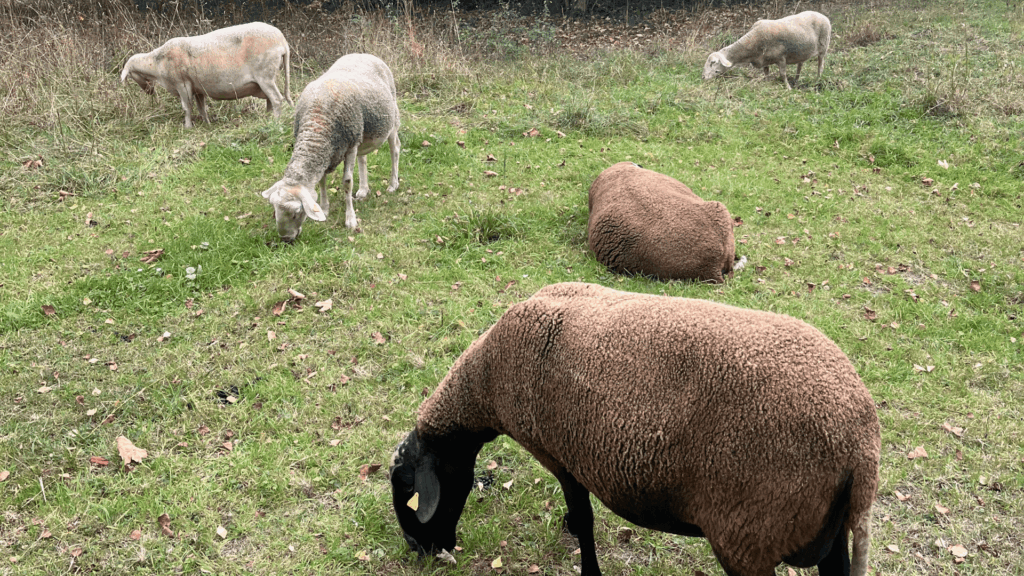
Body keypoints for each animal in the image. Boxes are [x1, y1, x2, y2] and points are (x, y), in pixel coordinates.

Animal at [120, 22, 292, 128]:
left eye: (132, 75)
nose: (149, 91)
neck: (157, 63)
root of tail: (283, 42)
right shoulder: (197, 88)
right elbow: (201, 107)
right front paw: (207, 124)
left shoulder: (182, 84)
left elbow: (186, 107)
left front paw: (188, 127)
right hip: (266, 78)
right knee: (270, 99)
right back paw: (267, 118)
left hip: (265, 74)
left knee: (276, 99)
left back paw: (275, 121)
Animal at [259, 53, 400, 241]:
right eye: (275, 210)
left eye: (297, 213)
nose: (286, 239)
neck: (317, 124)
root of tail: (363, 54)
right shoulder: (329, 151)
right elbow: (322, 181)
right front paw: (325, 209)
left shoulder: (350, 146)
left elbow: (347, 182)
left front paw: (350, 220)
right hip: (362, 132)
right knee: (363, 158)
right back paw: (363, 190)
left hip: (390, 119)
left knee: (395, 149)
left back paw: (393, 184)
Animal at [390, 282, 880, 576]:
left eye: (407, 489)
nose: (419, 549)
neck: (487, 378)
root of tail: (861, 444)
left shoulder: (560, 455)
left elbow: (585, 522)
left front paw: (586, 563)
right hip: (825, 533)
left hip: (749, 535)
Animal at [702, 11, 831, 89]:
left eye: (713, 63)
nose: (703, 77)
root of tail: (823, 16)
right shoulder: (764, 60)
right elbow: (766, 73)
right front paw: (767, 84)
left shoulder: (781, 57)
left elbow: (783, 74)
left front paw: (788, 88)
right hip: (802, 50)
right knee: (800, 65)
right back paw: (796, 81)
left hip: (823, 47)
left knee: (820, 65)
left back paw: (817, 80)